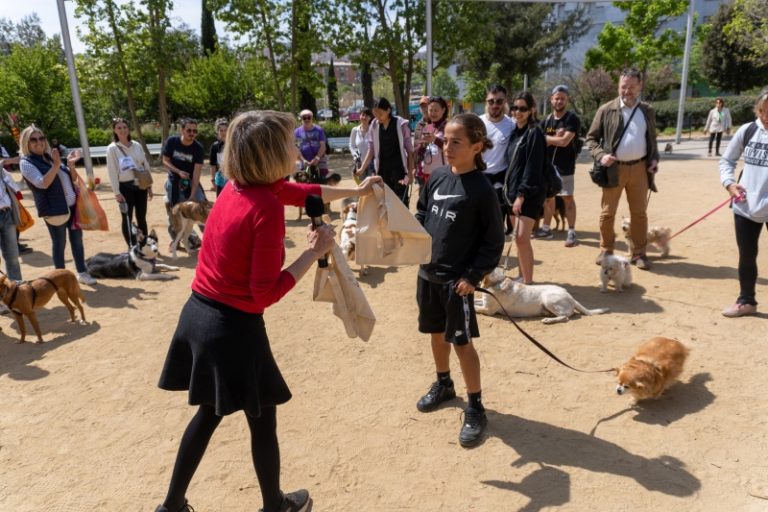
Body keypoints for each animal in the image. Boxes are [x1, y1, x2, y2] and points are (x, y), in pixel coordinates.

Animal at [475, 267, 609, 324]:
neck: (498, 282)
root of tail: (570, 296)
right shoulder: (483, 302)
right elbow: (475, 301)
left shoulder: (488, 310)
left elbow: (476, 308)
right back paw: (546, 314)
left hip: (548, 299)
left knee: (565, 317)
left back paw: (548, 320)